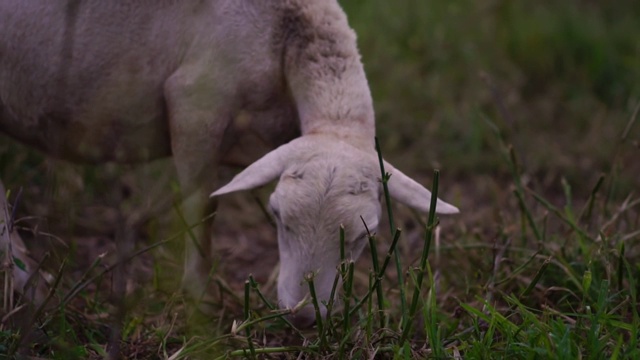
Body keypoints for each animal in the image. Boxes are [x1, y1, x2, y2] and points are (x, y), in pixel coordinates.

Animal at [1, 0, 460, 328]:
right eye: (278, 217)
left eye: (368, 235)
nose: (304, 319)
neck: (283, 30)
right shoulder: (195, 103)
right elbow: (201, 208)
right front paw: (198, 298)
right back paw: (31, 285)